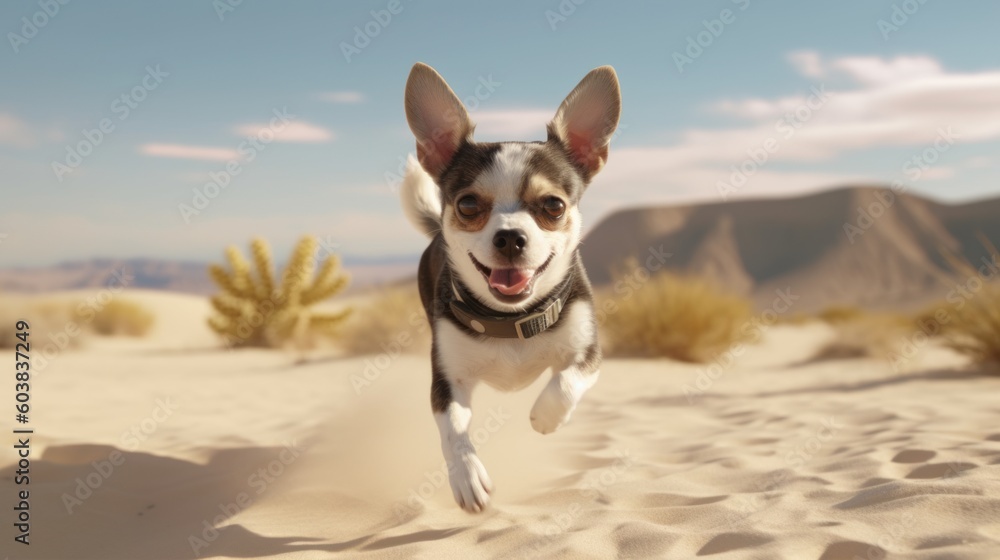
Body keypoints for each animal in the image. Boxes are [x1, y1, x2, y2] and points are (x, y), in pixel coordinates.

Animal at [396, 61, 616, 512]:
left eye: (554, 206)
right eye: (467, 205)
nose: (511, 237)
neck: (511, 318)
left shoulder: (589, 353)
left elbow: (565, 382)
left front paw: (546, 417)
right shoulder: (448, 382)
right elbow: (453, 430)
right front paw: (467, 477)